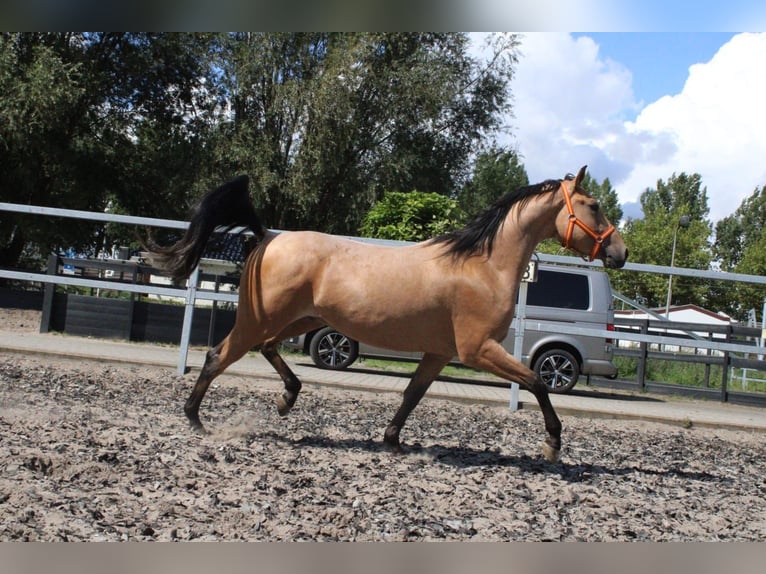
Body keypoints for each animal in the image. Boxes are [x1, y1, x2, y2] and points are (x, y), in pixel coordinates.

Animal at [146, 166, 632, 464]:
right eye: (593, 205)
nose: (620, 253)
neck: (482, 266)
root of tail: (268, 237)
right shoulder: (478, 350)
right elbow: (536, 383)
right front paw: (552, 445)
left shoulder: (440, 353)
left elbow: (412, 395)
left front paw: (392, 441)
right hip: (260, 319)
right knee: (218, 356)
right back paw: (195, 418)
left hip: (302, 320)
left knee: (265, 350)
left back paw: (287, 399)